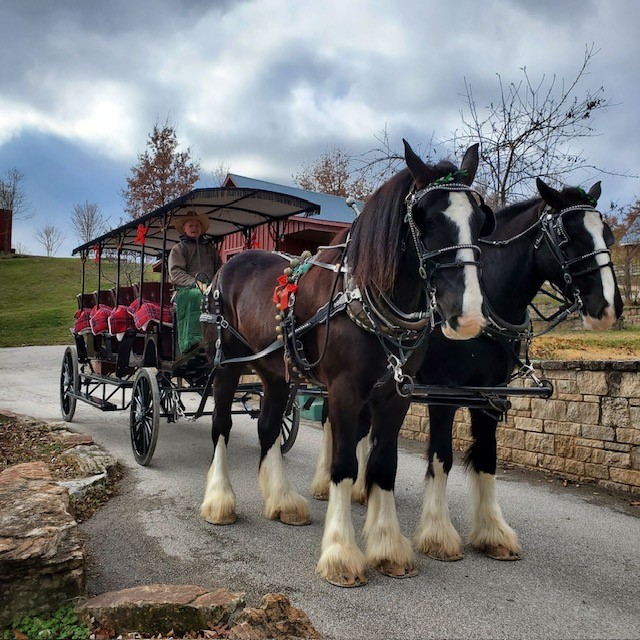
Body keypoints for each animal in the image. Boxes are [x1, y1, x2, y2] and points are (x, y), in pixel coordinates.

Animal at [200, 141, 496, 592]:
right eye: (425, 219)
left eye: (479, 220)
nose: (469, 316)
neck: (364, 297)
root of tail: (226, 266)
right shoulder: (343, 391)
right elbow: (343, 465)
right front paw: (341, 553)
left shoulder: (395, 395)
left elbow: (384, 465)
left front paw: (388, 547)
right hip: (228, 365)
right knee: (221, 426)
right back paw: (219, 501)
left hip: (275, 372)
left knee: (267, 428)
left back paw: (282, 500)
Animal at [312, 178, 624, 564]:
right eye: (568, 235)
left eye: (608, 236)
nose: (608, 309)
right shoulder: (442, 394)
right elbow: (442, 458)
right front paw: (438, 534)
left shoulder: (489, 396)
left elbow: (488, 457)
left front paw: (493, 533)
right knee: (333, 423)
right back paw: (325, 483)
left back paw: (360, 490)